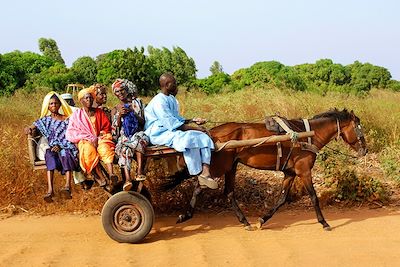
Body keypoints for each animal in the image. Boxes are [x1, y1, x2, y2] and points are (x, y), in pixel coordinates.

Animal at [161, 108, 368, 230]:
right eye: (359, 128)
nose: (365, 150)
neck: (307, 135)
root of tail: (211, 133)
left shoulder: (290, 173)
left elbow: (282, 198)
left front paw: (263, 219)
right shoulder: (303, 171)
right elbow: (314, 197)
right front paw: (324, 222)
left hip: (231, 166)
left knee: (228, 193)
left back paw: (244, 221)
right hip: (220, 166)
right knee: (201, 186)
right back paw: (186, 215)